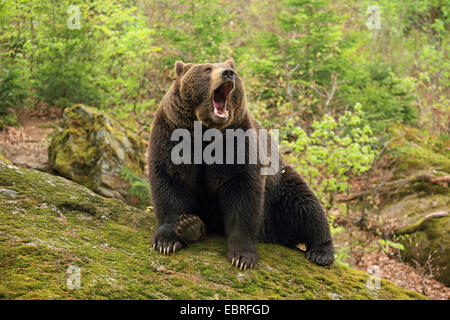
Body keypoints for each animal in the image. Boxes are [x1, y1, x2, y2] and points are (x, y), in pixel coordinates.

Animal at [149, 59, 334, 268]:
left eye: (232, 70)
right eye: (207, 69)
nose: (227, 73)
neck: (206, 132)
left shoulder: (237, 144)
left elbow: (243, 194)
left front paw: (242, 256)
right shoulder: (171, 134)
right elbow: (170, 180)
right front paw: (166, 241)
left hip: (279, 188)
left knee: (304, 204)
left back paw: (321, 252)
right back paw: (191, 226)